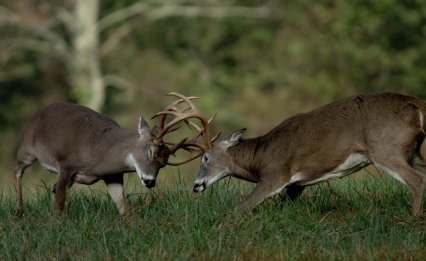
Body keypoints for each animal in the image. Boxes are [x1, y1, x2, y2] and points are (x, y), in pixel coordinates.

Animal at [13, 92, 213, 214]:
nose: (150, 181)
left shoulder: (112, 176)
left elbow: (124, 208)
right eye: (150, 150)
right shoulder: (66, 166)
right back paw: (19, 212)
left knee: (50, 187)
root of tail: (37, 113)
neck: (97, 153)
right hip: (26, 149)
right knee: (18, 171)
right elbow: (59, 206)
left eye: (163, 163)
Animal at [192, 92, 426, 214]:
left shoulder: (275, 175)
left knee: (417, 180)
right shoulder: (296, 185)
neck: (259, 156)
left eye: (206, 158)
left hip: (386, 149)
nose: (196, 185)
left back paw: (414, 218)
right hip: (412, 152)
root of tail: (418, 104)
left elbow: (241, 207)